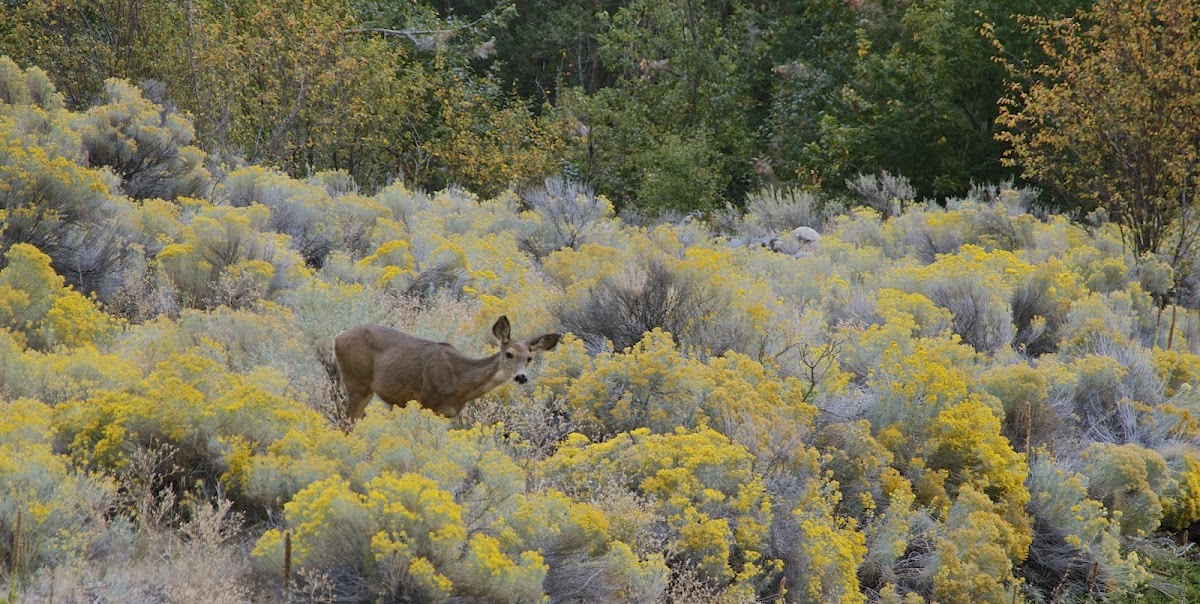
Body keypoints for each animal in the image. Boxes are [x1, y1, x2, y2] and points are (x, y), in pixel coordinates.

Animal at [333, 317, 561, 420]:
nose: (521, 377)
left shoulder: (450, 414)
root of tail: (339, 336)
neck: (459, 383)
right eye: (509, 354)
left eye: (530, 358)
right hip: (357, 382)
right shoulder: (428, 402)